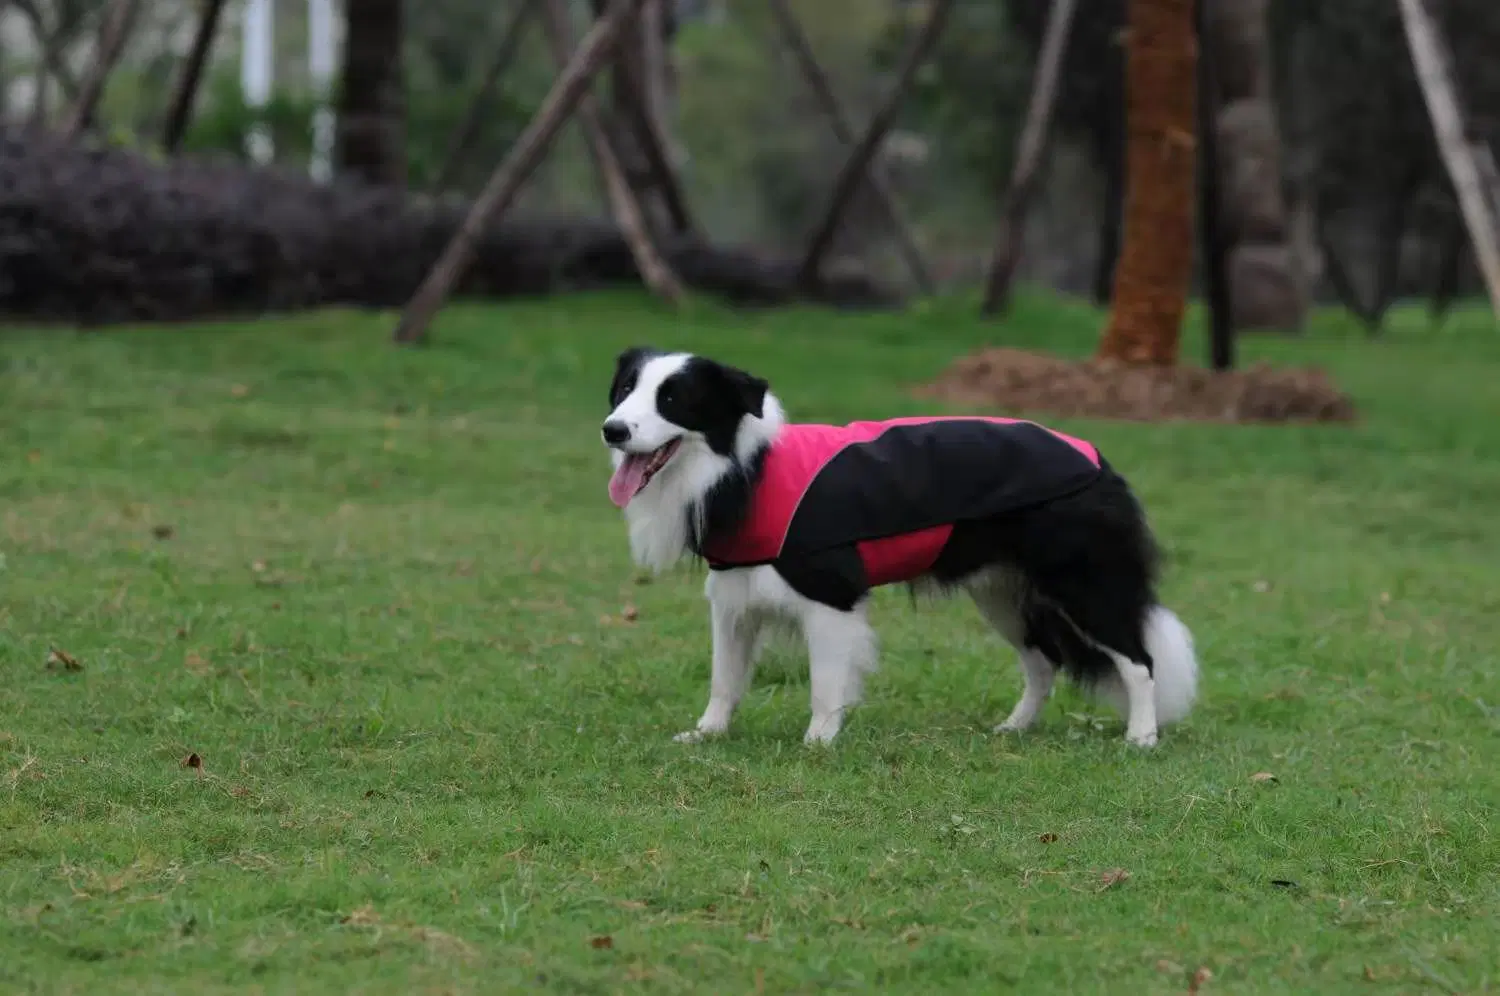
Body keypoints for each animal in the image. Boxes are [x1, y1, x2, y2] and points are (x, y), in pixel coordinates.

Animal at [597, 349, 1194, 747]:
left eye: (673, 399)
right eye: (625, 391)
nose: (612, 430)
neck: (745, 470)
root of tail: (1098, 459)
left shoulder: (831, 596)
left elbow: (825, 683)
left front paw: (819, 741)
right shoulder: (732, 597)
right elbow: (724, 679)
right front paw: (706, 735)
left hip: (1084, 583)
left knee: (1139, 658)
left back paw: (1141, 737)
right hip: (1002, 595)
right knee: (1042, 661)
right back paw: (1015, 727)